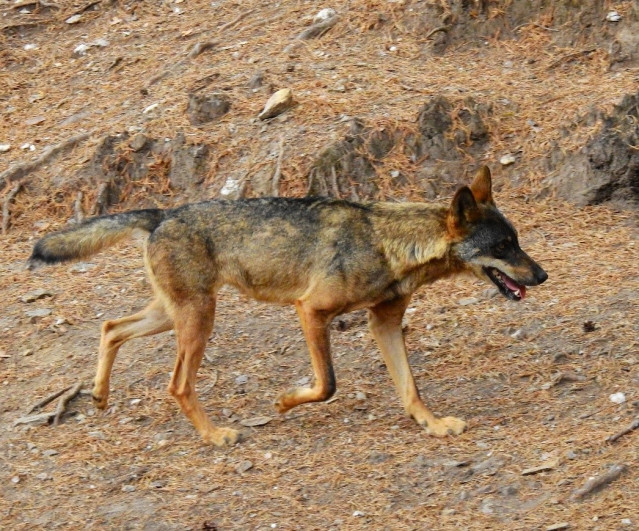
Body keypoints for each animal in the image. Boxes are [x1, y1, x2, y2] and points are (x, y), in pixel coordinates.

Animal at [30, 166, 548, 444]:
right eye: (504, 247)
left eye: (517, 241)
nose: (542, 275)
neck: (388, 244)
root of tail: (163, 213)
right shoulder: (310, 311)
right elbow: (327, 384)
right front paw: (283, 402)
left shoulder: (384, 324)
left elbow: (410, 389)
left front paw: (434, 425)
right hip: (198, 321)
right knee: (176, 384)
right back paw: (215, 436)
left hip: (173, 316)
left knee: (110, 327)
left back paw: (99, 396)